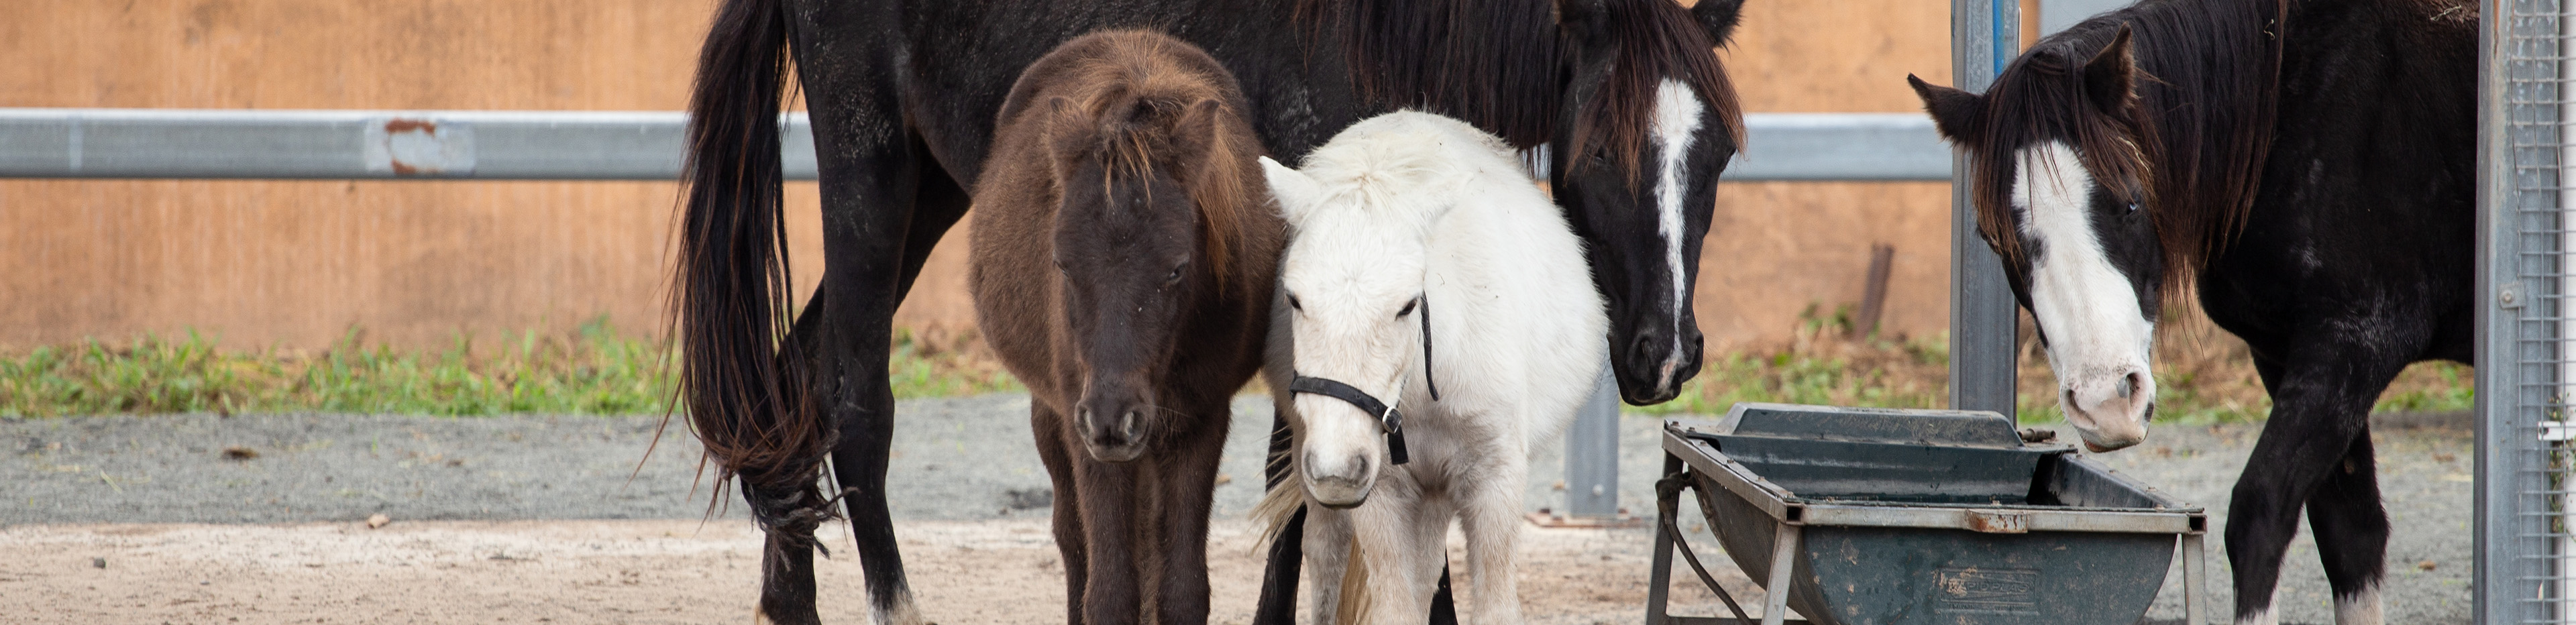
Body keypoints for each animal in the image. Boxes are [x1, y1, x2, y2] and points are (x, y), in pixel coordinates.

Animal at [966, 30, 1285, 625]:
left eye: (1178, 268)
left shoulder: (1199, 420)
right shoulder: (1084, 430)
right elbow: (1110, 591)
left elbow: (1181, 590)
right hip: (1057, 418)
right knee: (1073, 539)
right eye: (1062, 264)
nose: (1114, 418)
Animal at [1253, 111, 1608, 625]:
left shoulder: (1496, 480)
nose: (1339, 469)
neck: (1422, 388)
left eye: (1406, 305)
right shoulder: (1381, 492)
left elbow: (1493, 606)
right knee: (1327, 554)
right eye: (1293, 298)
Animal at [1905, 1, 2474, 623]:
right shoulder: (2286, 350)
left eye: (2131, 204)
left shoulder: (2357, 342)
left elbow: (2259, 514)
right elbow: (2352, 534)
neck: (2291, 101)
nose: (2107, 407)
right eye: (1996, 238)